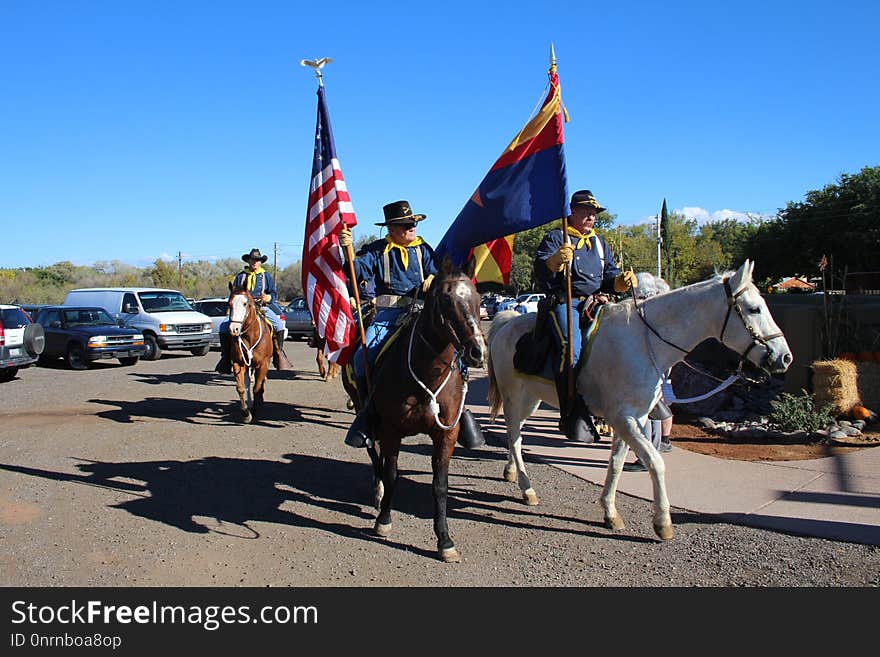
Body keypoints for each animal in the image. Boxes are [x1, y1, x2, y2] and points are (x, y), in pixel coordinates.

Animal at [227, 288, 272, 422]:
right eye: (229, 304)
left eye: (245, 304)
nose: (234, 329)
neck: (250, 337)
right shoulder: (238, 363)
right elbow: (241, 388)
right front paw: (246, 413)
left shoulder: (263, 364)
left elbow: (257, 388)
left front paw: (256, 409)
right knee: (247, 384)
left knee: (260, 383)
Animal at [342, 255, 488, 560]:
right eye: (445, 299)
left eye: (478, 297)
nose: (478, 352)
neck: (425, 375)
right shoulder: (391, 430)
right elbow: (392, 474)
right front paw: (384, 520)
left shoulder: (446, 434)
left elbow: (440, 486)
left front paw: (444, 540)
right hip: (363, 410)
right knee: (374, 454)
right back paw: (378, 491)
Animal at [484, 258, 796, 540]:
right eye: (754, 308)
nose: (784, 357)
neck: (647, 341)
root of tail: (506, 323)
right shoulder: (623, 418)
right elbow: (655, 462)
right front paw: (663, 522)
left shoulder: (633, 418)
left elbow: (618, 462)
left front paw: (610, 511)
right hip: (514, 397)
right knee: (514, 437)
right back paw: (527, 489)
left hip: (531, 400)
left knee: (515, 436)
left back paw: (511, 472)